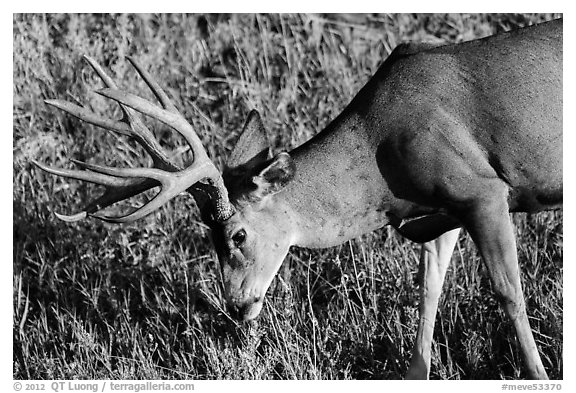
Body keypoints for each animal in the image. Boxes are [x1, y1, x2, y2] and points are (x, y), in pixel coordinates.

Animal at [32, 17, 564, 376]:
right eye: (206, 237)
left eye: (237, 234)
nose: (236, 306)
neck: (380, 159)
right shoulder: (438, 214)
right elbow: (428, 292)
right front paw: (415, 371)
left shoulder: (483, 190)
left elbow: (509, 292)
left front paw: (538, 373)